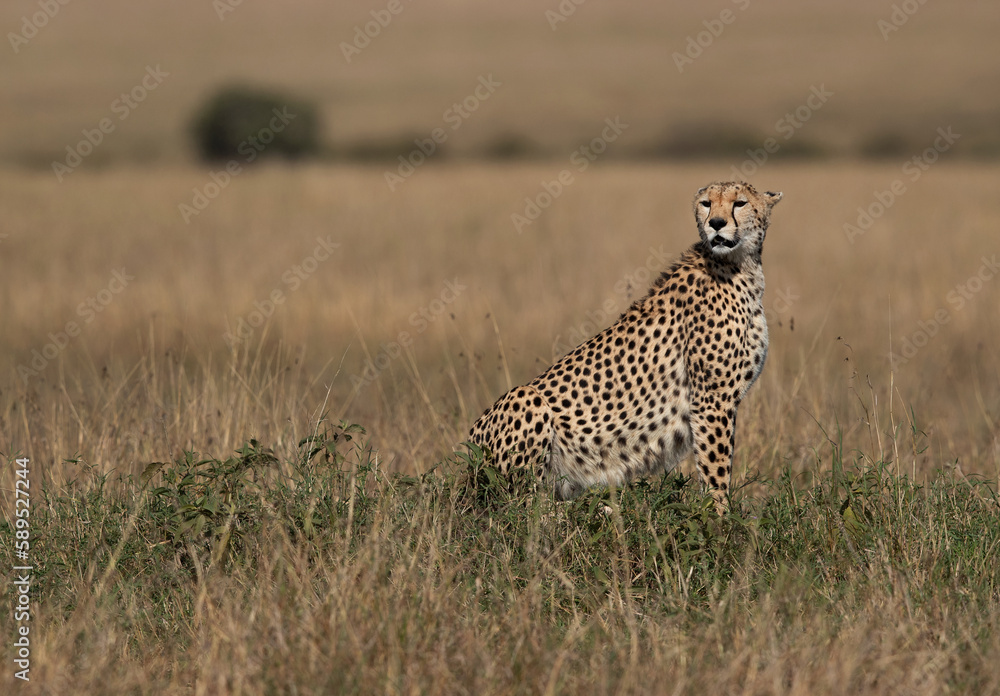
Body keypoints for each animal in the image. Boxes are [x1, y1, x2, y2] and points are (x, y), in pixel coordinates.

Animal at [467, 181, 783, 514]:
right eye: (706, 203)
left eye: (740, 203)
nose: (717, 224)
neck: (740, 265)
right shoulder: (712, 400)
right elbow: (716, 470)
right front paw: (720, 518)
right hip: (525, 400)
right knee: (527, 508)